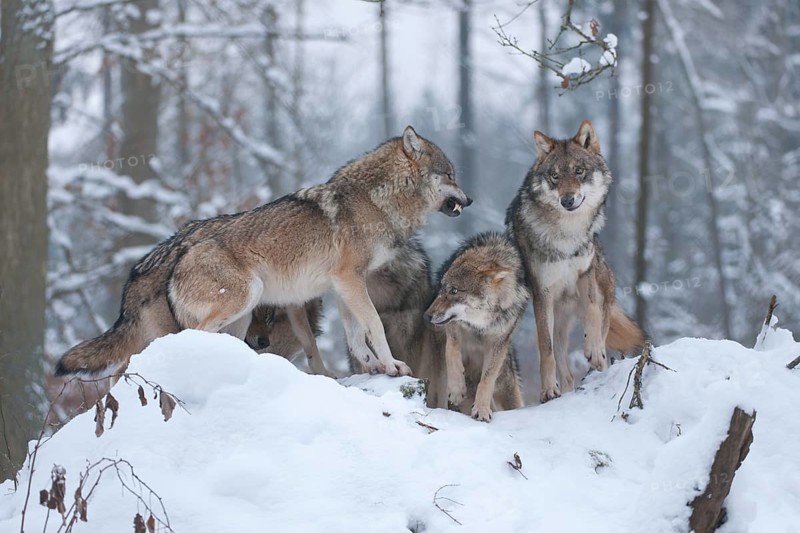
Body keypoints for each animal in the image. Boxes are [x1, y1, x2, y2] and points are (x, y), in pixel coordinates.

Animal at [424, 232, 526, 421]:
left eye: (454, 291)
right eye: (442, 288)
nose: (426, 316)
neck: (479, 326)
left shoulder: (498, 344)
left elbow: (487, 379)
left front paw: (482, 409)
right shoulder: (453, 328)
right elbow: (452, 351)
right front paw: (456, 389)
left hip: (507, 388)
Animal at [506, 120, 645, 403]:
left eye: (579, 171)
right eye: (555, 176)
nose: (567, 200)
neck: (567, 235)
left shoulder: (585, 274)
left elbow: (592, 313)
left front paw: (593, 349)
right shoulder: (543, 293)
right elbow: (545, 349)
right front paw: (548, 390)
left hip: (600, 292)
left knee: (601, 328)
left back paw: (598, 363)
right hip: (556, 321)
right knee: (565, 369)